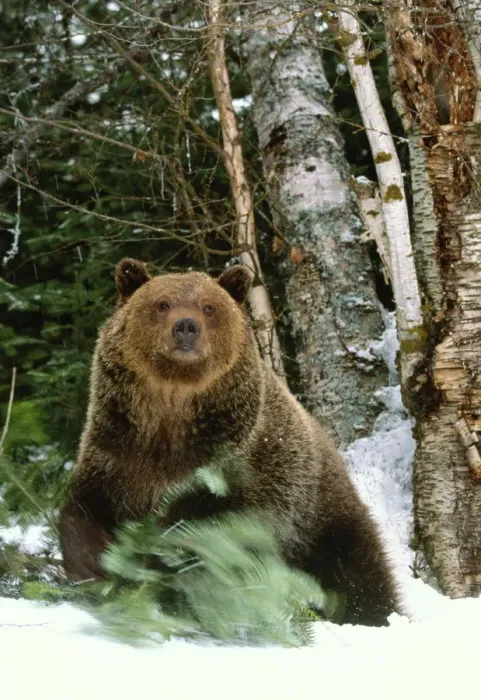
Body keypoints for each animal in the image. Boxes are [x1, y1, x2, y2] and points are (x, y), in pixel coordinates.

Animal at [59, 258, 401, 626]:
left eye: (208, 307)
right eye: (162, 304)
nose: (186, 326)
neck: (170, 417)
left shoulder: (236, 471)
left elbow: (207, 537)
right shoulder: (117, 451)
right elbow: (85, 511)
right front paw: (94, 566)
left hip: (324, 520)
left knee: (359, 574)